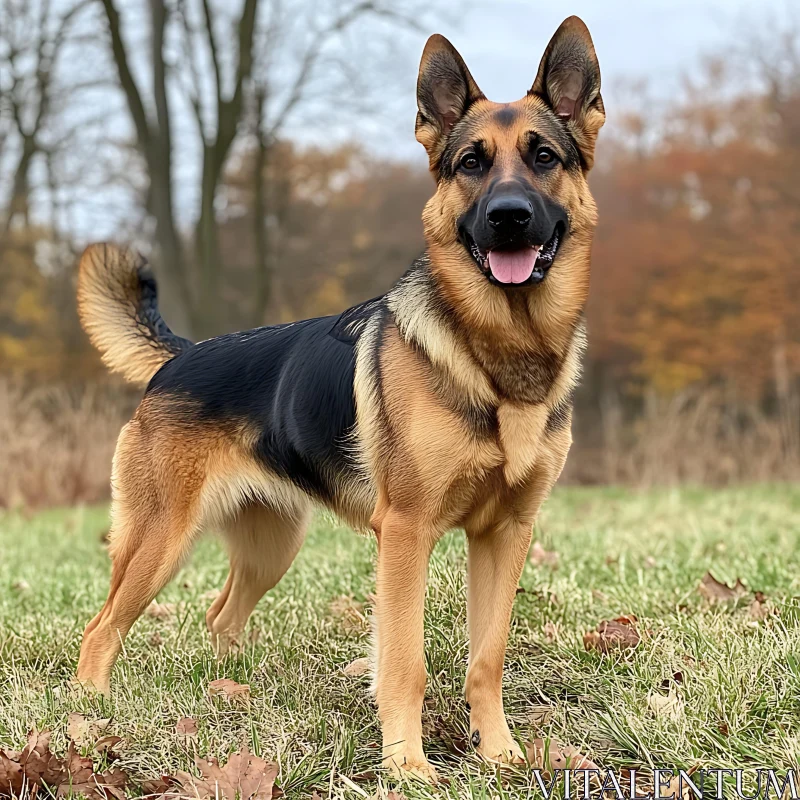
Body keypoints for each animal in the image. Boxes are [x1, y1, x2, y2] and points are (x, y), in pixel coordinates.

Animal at [75, 17, 604, 780]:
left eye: (543, 157)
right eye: (470, 164)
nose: (508, 218)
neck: (498, 353)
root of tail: (182, 357)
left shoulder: (505, 535)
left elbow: (487, 658)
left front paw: (500, 753)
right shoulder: (406, 535)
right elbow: (404, 663)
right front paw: (408, 768)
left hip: (271, 549)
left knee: (219, 616)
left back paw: (234, 693)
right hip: (157, 543)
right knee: (101, 627)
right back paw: (90, 716)